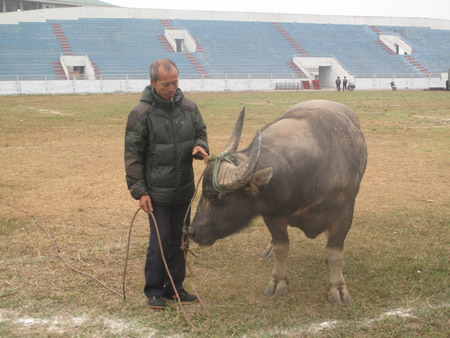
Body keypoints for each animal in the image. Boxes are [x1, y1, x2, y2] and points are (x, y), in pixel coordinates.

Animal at [189, 100, 366, 304]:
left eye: (212, 195)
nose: (192, 231)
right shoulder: (271, 215)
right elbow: (281, 248)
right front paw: (278, 282)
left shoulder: (344, 213)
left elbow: (334, 253)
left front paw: (337, 288)